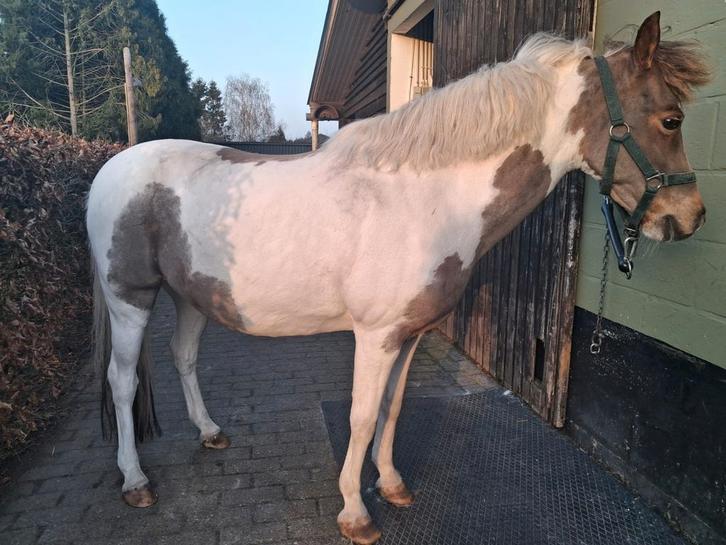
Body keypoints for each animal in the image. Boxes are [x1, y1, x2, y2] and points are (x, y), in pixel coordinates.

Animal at [86, 12, 709, 544]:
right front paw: (355, 513)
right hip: (129, 300)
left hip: (190, 296)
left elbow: (392, 409)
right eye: (670, 119)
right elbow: (362, 416)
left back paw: (210, 431)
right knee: (122, 382)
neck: (425, 199)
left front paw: (390, 485)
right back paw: (135, 481)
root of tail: (111, 169)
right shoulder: (376, 335)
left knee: (183, 358)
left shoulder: (408, 336)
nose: (691, 216)